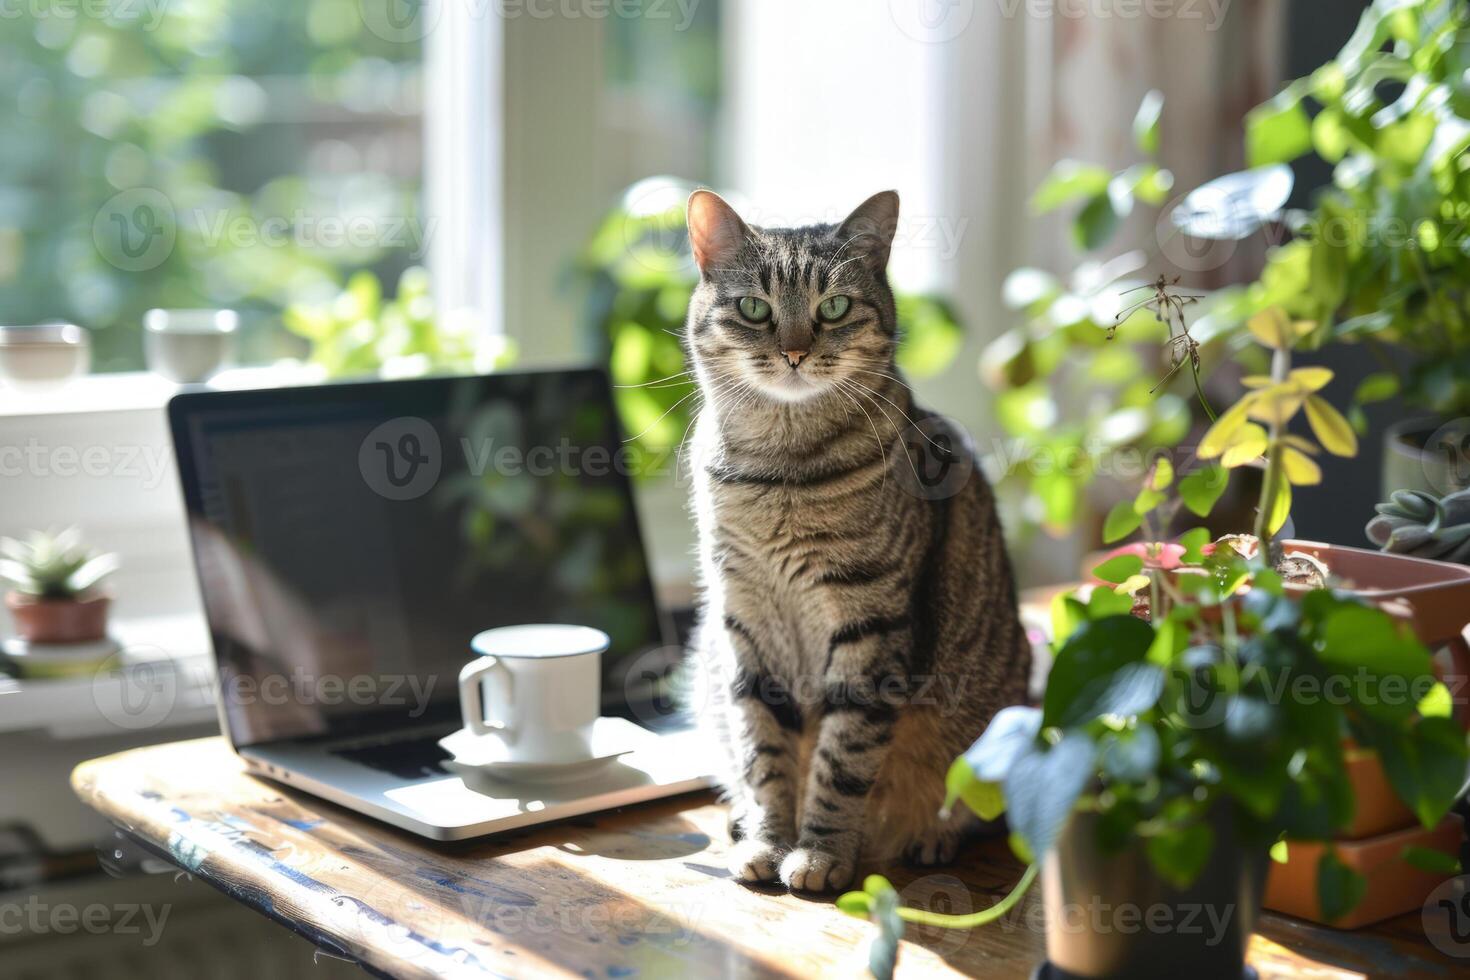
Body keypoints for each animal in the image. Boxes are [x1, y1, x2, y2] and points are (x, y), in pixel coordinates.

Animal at [682, 188, 1029, 893]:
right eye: (755, 309)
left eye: (834, 307)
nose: (793, 351)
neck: (778, 469)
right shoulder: (744, 620)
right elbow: (764, 753)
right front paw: (768, 840)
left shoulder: (871, 624)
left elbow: (842, 759)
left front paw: (818, 854)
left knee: (968, 812)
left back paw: (929, 838)